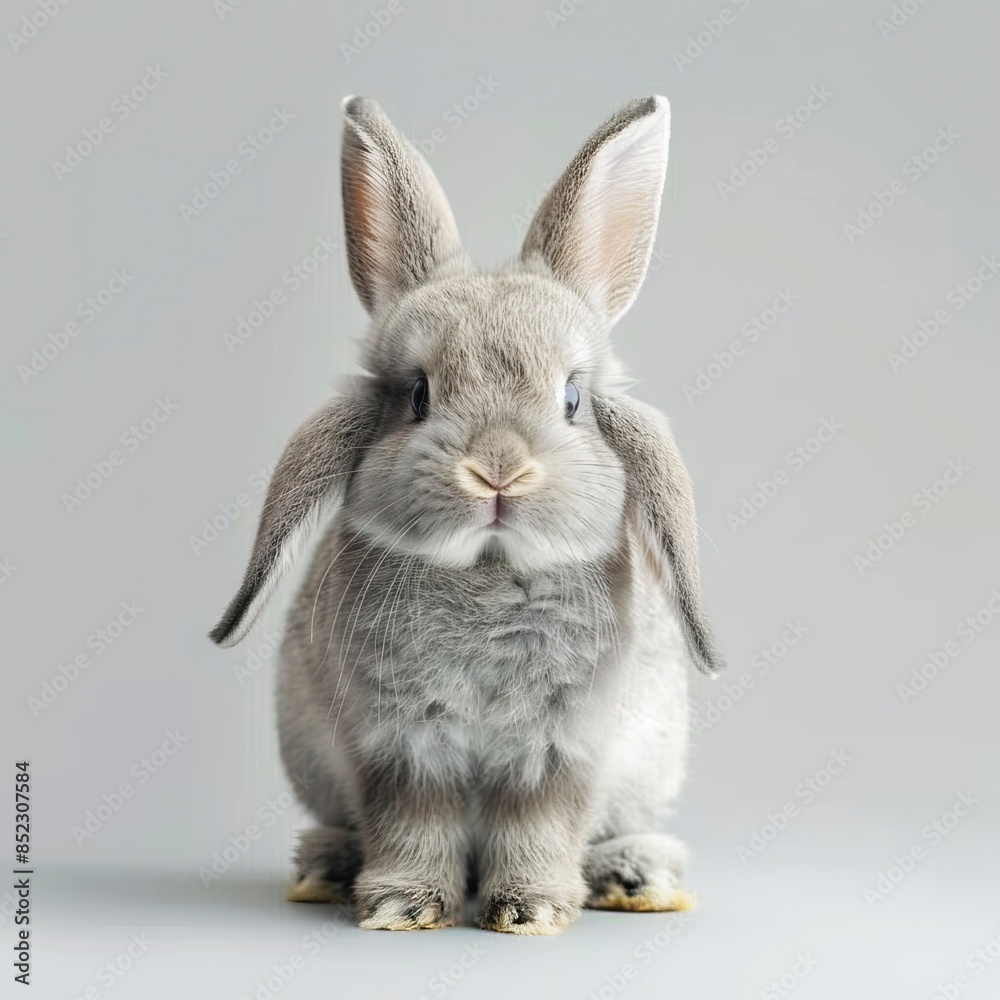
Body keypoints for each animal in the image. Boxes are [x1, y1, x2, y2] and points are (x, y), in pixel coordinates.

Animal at [209, 94, 725, 935]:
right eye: (418, 395)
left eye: (572, 399)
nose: (498, 468)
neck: (487, 573)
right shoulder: (400, 743)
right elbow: (412, 821)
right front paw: (401, 906)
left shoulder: (559, 746)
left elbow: (537, 824)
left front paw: (530, 912)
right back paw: (326, 870)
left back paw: (635, 879)